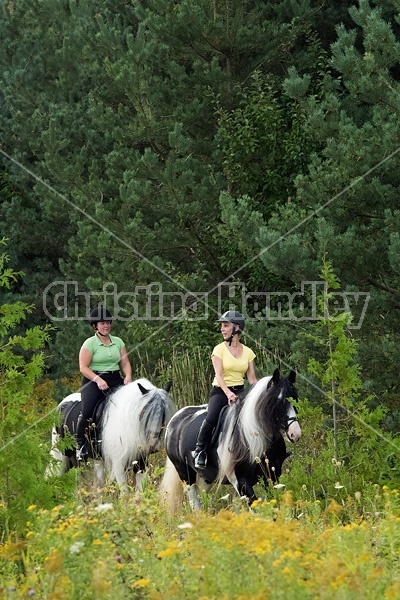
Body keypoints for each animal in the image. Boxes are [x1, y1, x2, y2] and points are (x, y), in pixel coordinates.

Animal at [159, 370, 300, 510]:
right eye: (278, 401)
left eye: (295, 398)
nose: (295, 433)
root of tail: (175, 420)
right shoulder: (240, 481)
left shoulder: (272, 476)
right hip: (186, 475)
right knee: (195, 502)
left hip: (206, 478)